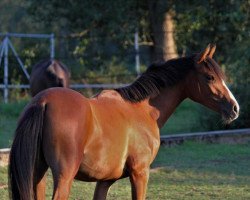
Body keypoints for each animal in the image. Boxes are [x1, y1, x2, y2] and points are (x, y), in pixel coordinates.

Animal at [8, 44, 238, 200]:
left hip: (38, 174)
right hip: (63, 177)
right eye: (210, 77)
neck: (143, 109)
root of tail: (43, 102)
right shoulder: (140, 173)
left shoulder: (104, 181)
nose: (234, 108)